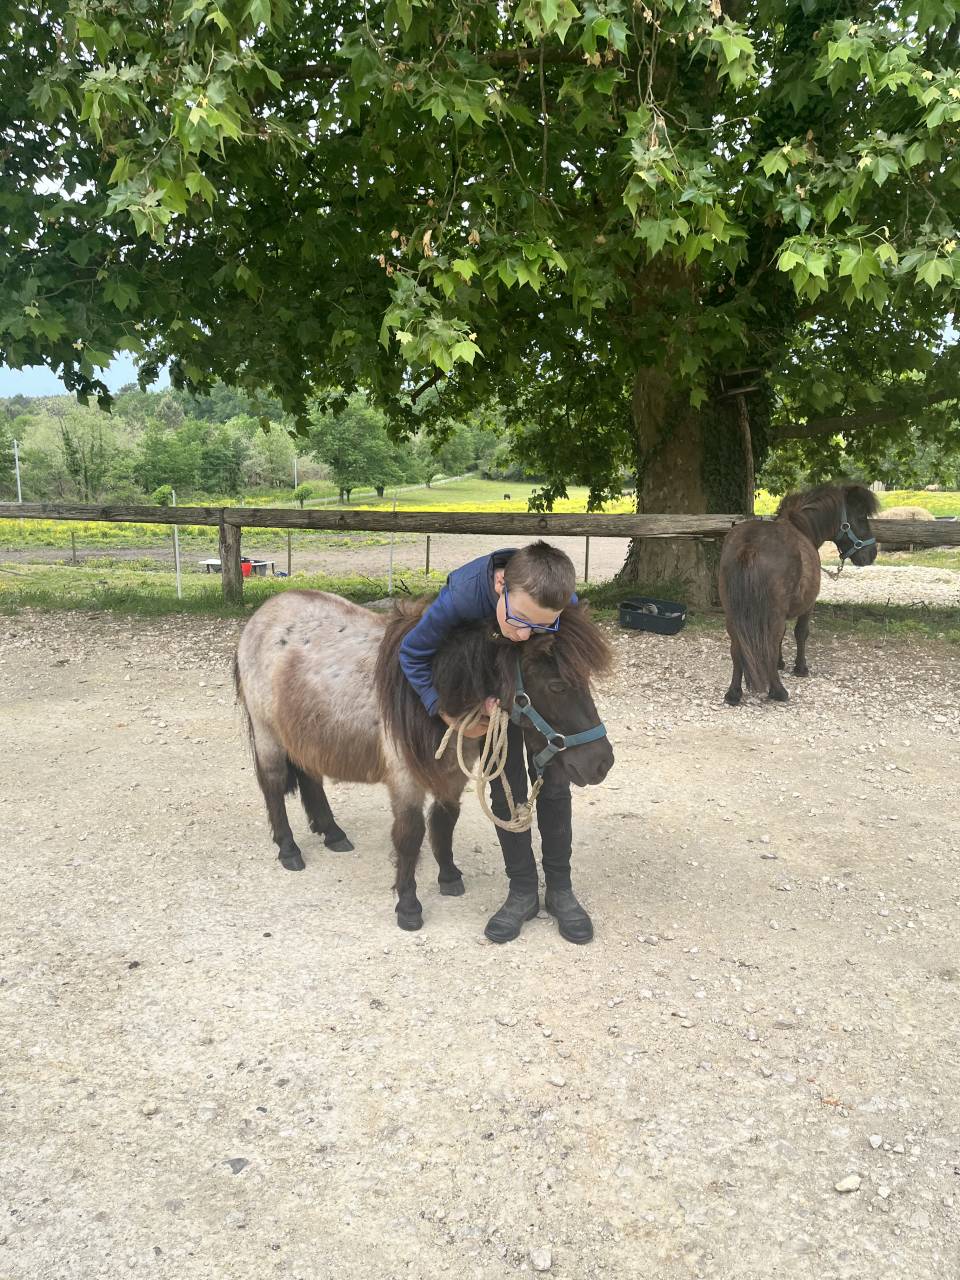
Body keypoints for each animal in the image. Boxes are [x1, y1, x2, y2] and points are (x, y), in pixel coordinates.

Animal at [234, 591, 614, 930]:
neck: (434, 693)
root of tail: (262, 614)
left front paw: (448, 877)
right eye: (557, 686)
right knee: (272, 786)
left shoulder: (452, 772)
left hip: (304, 734)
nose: (602, 763)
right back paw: (289, 850)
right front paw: (408, 905)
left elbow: (444, 822)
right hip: (269, 736)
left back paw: (332, 833)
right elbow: (410, 835)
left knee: (310, 777)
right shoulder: (406, 779)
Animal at [719, 482, 879, 704]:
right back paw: (778, 691)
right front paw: (800, 668)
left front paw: (781, 663)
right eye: (861, 516)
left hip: (732, 613)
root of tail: (750, 544)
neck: (802, 527)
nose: (871, 554)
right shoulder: (808, 605)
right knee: (769, 642)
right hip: (772, 612)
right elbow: (800, 633)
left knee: (736, 647)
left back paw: (733, 693)